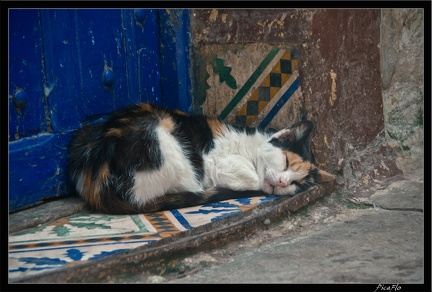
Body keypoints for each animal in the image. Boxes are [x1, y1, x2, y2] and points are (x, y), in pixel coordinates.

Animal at [66, 102, 334, 214]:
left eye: (297, 183)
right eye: (286, 162)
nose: (281, 182)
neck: (248, 149)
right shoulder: (212, 161)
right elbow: (252, 178)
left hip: (82, 134)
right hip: (164, 139)